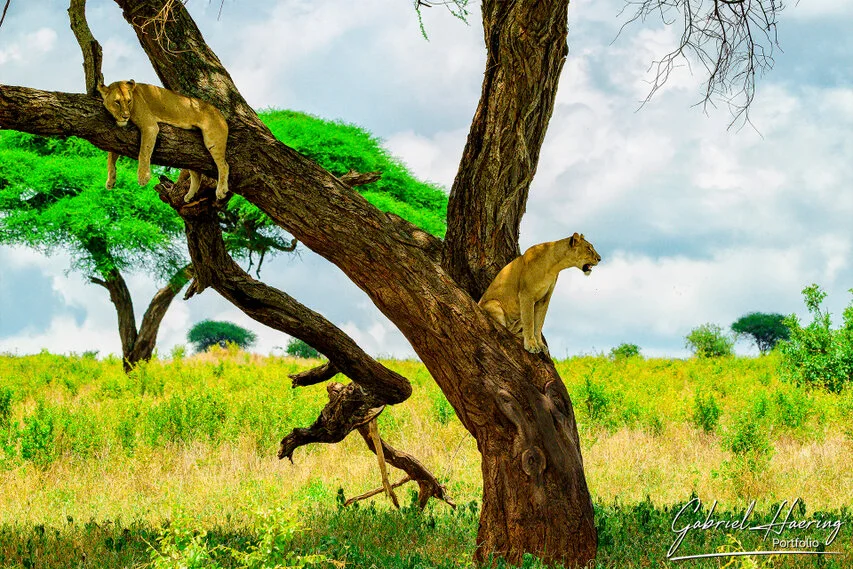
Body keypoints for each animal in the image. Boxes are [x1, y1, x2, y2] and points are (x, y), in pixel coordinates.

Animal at [97, 80, 230, 202]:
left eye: (129, 101)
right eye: (117, 102)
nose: (125, 116)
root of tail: (220, 114)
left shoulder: (150, 126)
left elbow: (144, 152)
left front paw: (143, 177)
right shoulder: (116, 140)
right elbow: (110, 158)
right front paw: (110, 181)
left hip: (213, 141)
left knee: (224, 165)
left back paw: (221, 191)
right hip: (191, 154)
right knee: (197, 173)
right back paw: (189, 196)